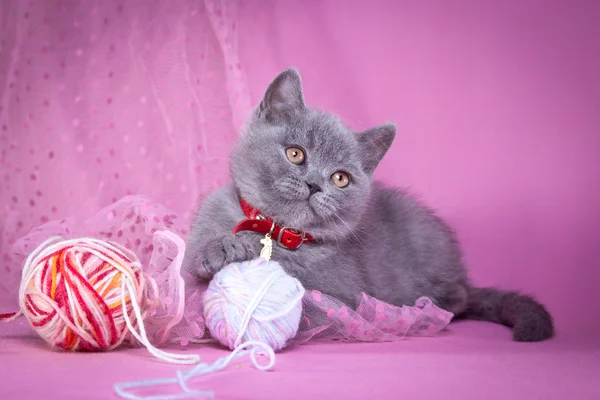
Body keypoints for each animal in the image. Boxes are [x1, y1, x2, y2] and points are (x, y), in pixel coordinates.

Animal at [183, 68, 552, 340]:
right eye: (295, 153)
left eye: (340, 178)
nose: (314, 184)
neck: (273, 228)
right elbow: (190, 272)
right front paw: (222, 247)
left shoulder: (341, 290)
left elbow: (304, 282)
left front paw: (247, 251)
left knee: (455, 300)